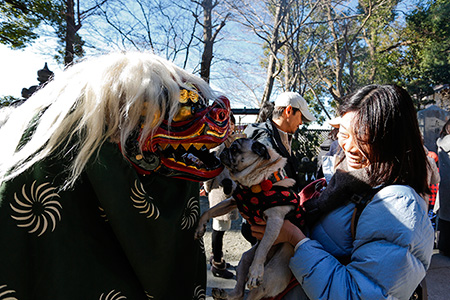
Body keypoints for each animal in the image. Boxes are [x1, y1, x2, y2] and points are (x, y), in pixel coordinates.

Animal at [195, 138, 304, 300]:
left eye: (234, 149)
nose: (224, 150)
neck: (255, 185)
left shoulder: (274, 220)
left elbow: (263, 246)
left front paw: (255, 272)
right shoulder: (232, 201)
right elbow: (209, 211)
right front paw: (200, 227)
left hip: (270, 275)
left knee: (252, 292)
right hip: (244, 259)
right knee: (239, 291)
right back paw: (223, 294)